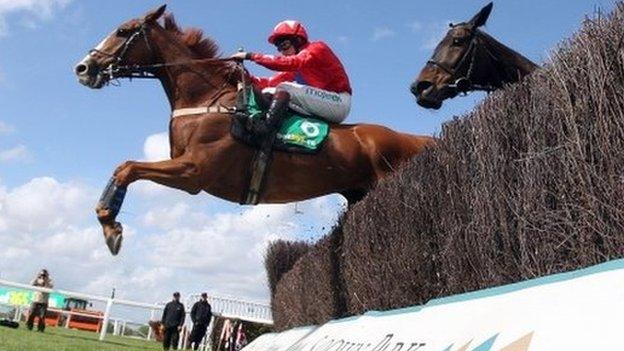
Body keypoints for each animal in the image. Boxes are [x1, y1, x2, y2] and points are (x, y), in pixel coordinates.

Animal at [73, 5, 434, 256]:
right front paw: (108, 222)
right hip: (358, 196)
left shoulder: (194, 172)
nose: (83, 68)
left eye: (123, 31)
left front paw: (110, 226)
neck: (207, 101)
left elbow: (128, 168)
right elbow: (123, 167)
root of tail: (417, 139)